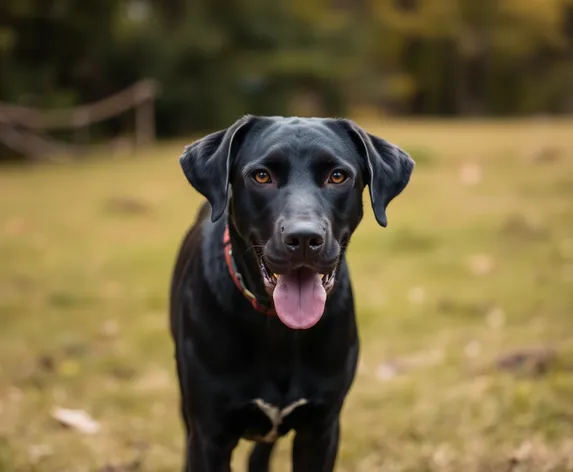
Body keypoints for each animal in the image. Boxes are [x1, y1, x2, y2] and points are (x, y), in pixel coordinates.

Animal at [168, 115, 414, 472]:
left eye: (337, 176)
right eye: (261, 176)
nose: (304, 238)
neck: (278, 328)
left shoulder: (321, 429)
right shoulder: (209, 435)